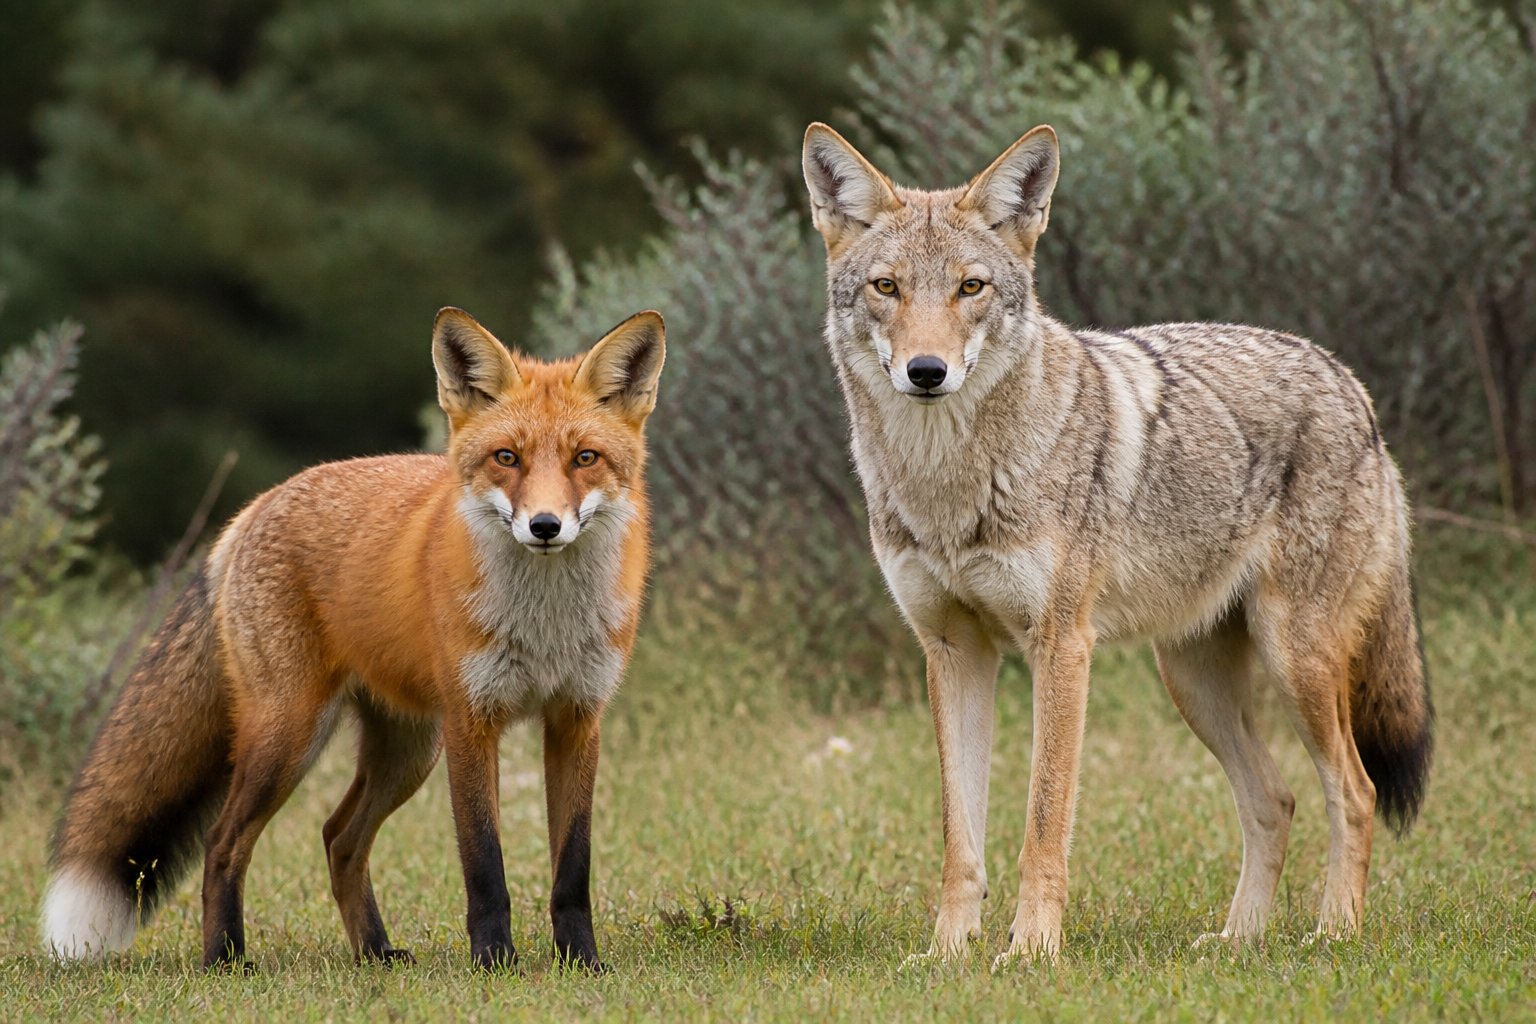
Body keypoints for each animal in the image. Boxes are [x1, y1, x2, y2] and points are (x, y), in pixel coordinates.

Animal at [41, 306, 666, 972]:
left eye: (585, 458)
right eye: (507, 457)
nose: (545, 526)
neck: (545, 625)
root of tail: (255, 507)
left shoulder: (577, 718)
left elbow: (572, 867)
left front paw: (582, 963)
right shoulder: (472, 722)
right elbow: (484, 866)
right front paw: (494, 962)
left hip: (406, 751)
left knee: (338, 838)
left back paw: (374, 951)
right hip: (289, 736)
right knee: (223, 842)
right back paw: (227, 958)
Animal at [801, 122, 1433, 967]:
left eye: (970, 288)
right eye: (887, 287)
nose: (926, 371)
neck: (950, 485)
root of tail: (1349, 383)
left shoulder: (1062, 646)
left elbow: (1043, 823)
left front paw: (1029, 952)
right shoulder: (954, 651)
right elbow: (960, 840)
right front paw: (948, 955)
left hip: (1294, 660)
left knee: (1353, 792)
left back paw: (1331, 933)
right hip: (1192, 681)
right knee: (1276, 799)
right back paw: (1237, 942)